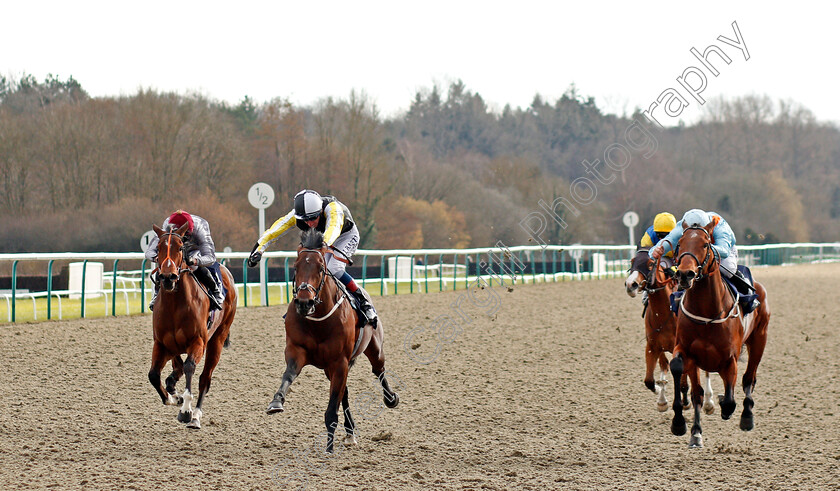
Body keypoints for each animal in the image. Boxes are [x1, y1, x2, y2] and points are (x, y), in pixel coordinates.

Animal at [148, 224, 238, 430]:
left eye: (181, 247)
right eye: (158, 248)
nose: (168, 277)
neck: (174, 305)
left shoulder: (198, 342)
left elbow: (189, 367)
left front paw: (186, 411)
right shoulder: (162, 344)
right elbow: (154, 375)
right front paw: (173, 398)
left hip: (217, 340)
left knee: (205, 378)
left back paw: (196, 415)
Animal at [270, 230, 400, 454]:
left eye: (321, 268)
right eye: (295, 266)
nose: (304, 302)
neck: (317, 320)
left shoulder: (339, 361)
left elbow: (332, 408)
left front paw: (329, 449)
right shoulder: (298, 351)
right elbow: (289, 374)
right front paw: (277, 401)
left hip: (373, 348)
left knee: (379, 370)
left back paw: (391, 398)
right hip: (330, 368)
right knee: (344, 392)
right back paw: (350, 433)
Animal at [624, 250, 716, 416]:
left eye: (650, 264)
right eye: (632, 261)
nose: (630, 284)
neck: (664, 314)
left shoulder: (681, 349)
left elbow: (683, 382)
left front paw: (685, 402)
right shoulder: (653, 347)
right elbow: (650, 379)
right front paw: (661, 396)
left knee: (705, 371)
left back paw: (708, 402)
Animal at [668, 223, 772, 450]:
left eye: (705, 244)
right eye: (680, 243)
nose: (685, 275)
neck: (707, 313)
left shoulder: (729, 358)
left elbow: (731, 398)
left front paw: (727, 407)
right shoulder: (687, 352)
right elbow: (685, 379)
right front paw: (685, 426)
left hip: (759, 339)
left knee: (749, 378)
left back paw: (746, 416)